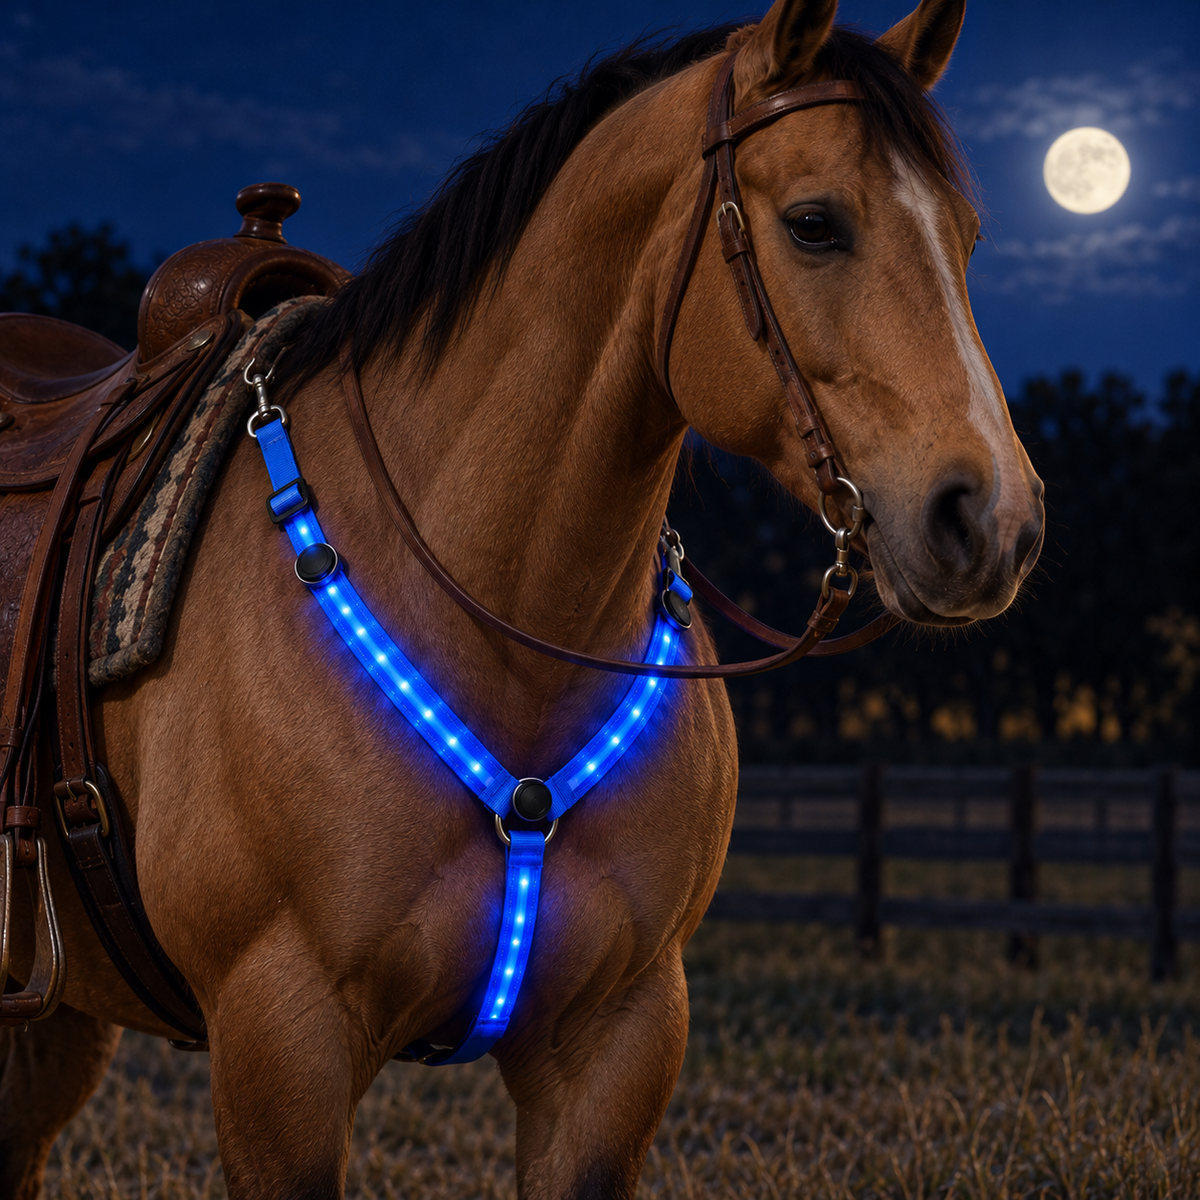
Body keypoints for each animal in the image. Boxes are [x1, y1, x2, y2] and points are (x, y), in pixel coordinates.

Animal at [0, 0, 1044, 1195]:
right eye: (816, 224)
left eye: (967, 238)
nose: (993, 521)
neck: (501, 630)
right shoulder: (280, 1044)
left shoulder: (615, 1042)